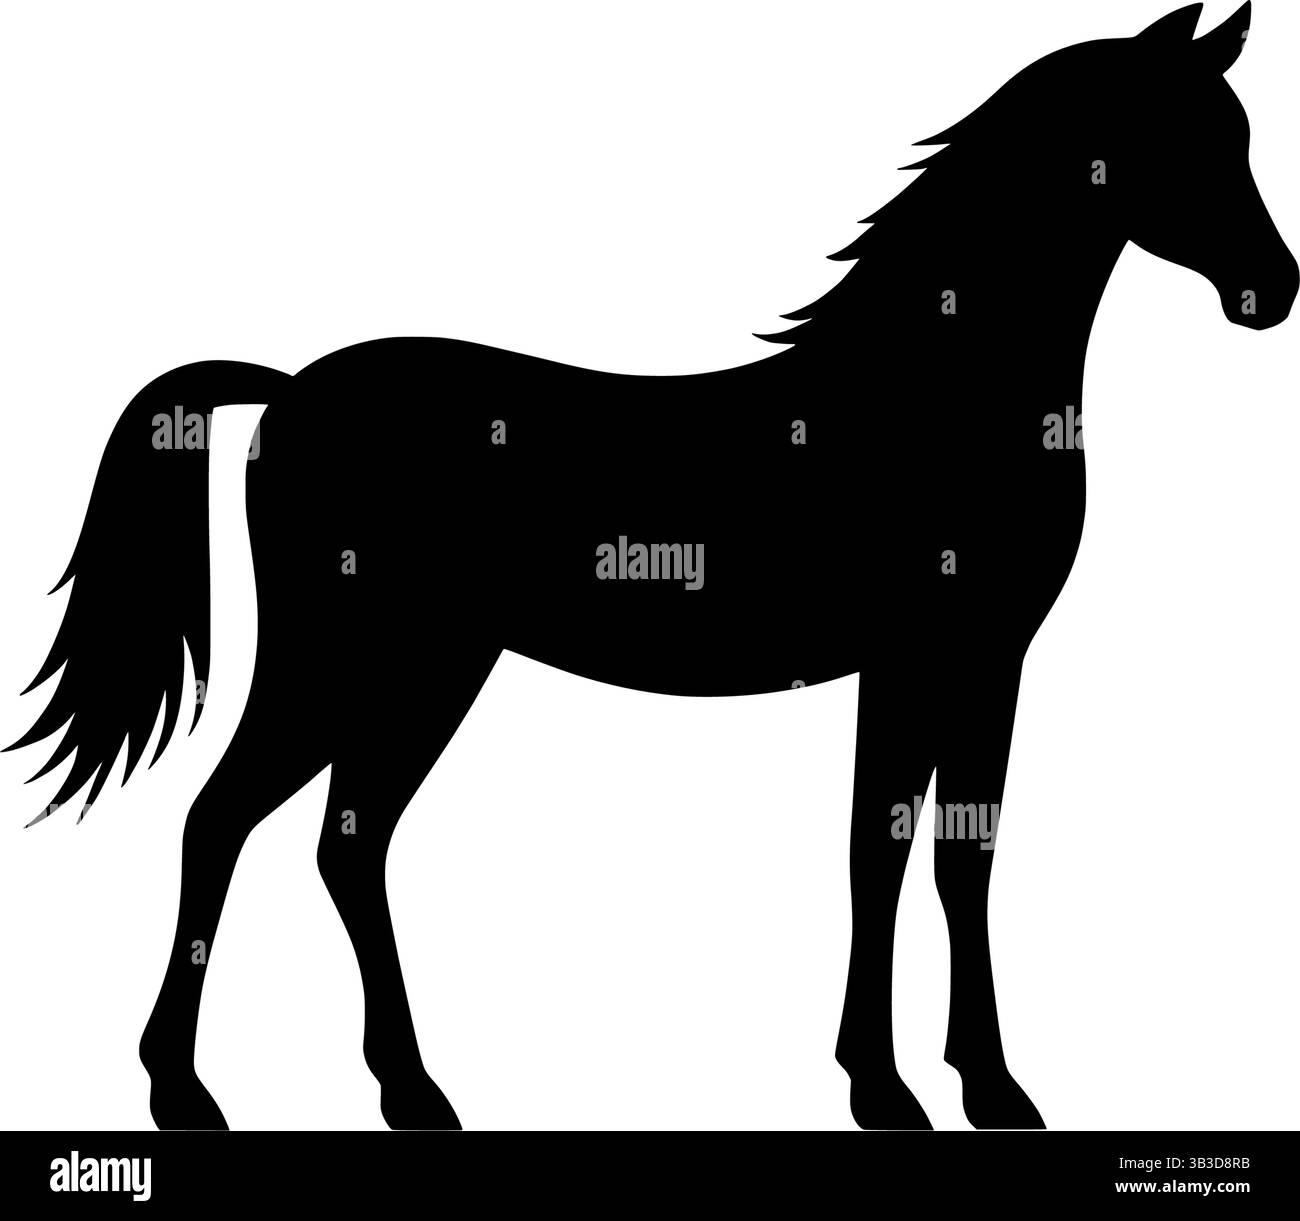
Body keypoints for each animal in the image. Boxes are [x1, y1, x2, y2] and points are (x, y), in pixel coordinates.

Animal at [9, 2, 1295, 1131]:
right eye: (1177, 141)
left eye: (1237, 135)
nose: (1270, 292)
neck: (930, 396)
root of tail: (286, 393)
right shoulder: (916, 659)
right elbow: (881, 854)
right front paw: (895, 1091)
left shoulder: (981, 660)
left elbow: (953, 859)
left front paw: (975, 1086)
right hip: (339, 662)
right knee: (219, 823)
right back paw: (183, 1092)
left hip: (429, 668)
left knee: (347, 844)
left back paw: (409, 1091)